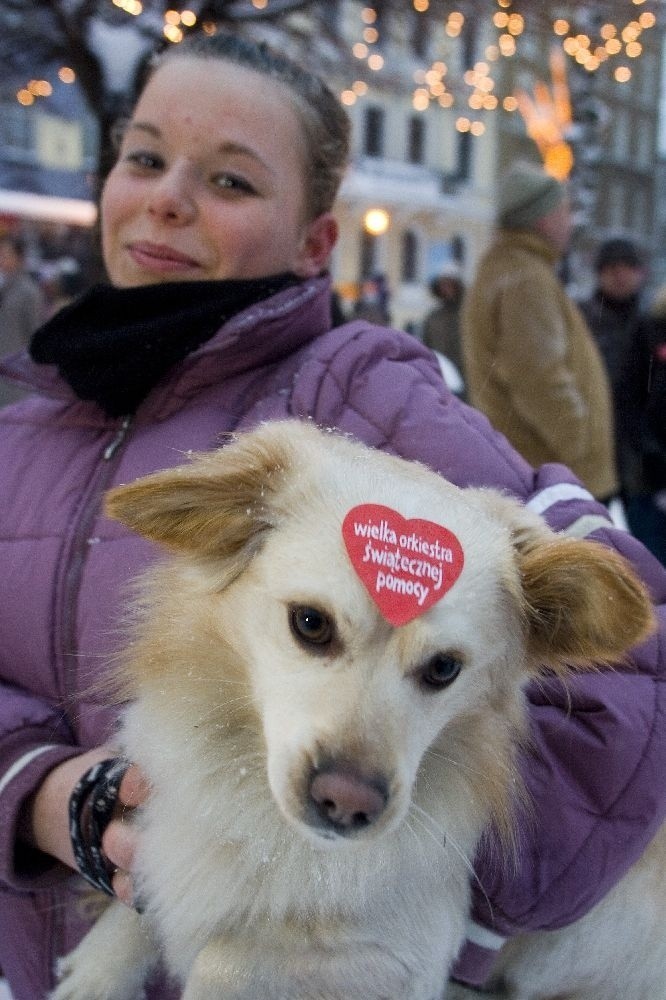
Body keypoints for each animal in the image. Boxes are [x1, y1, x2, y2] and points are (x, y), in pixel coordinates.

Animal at [53, 418, 660, 996]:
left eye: (445, 668)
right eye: (310, 623)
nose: (347, 802)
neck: (260, 820)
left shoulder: (404, 958)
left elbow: (224, 958)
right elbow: (149, 882)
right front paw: (101, 967)